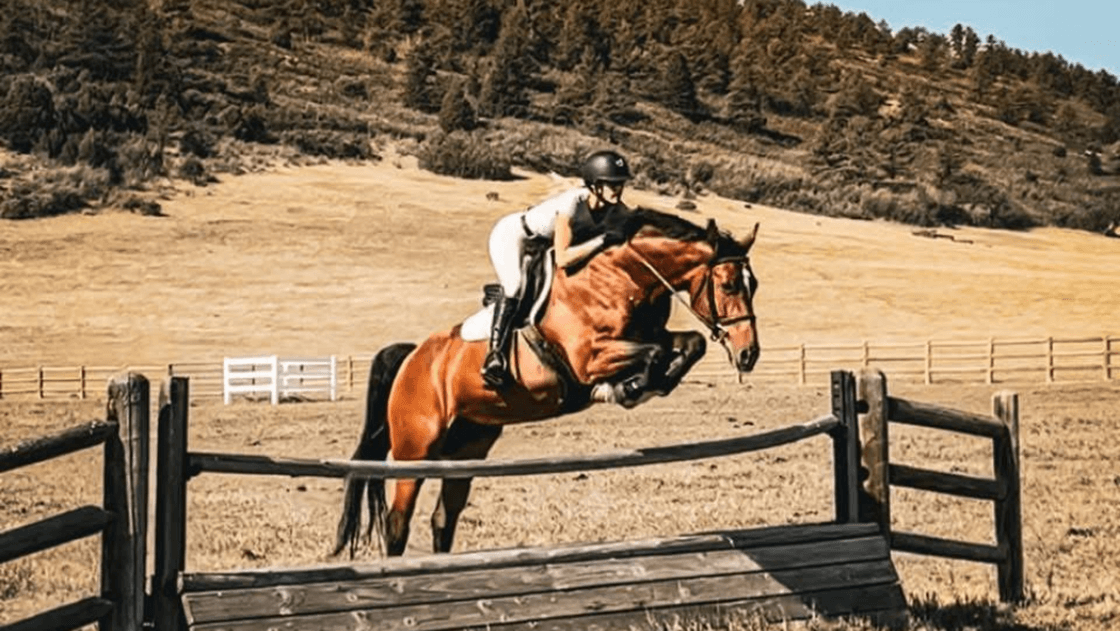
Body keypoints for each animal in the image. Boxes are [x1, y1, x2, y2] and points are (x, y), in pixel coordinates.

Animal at [331, 207, 761, 558]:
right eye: (728, 285)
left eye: (752, 284)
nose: (749, 354)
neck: (624, 278)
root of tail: (413, 357)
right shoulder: (588, 358)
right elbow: (653, 354)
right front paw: (626, 388)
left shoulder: (649, 337)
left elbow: (690, 344)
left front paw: (649, 382)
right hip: (415, 449)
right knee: (397, 524)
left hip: (467, 447)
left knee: (443, 518)